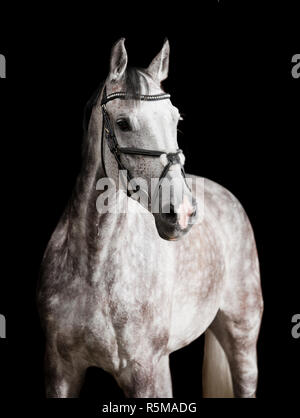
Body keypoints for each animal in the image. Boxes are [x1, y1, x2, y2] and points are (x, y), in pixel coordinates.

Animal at [37, 38, 262, 398]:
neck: (94, 267)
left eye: (175, 119)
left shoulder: (146, 372)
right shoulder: (59, 370)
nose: (182, 213)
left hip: (242, 334)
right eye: (123, 123)